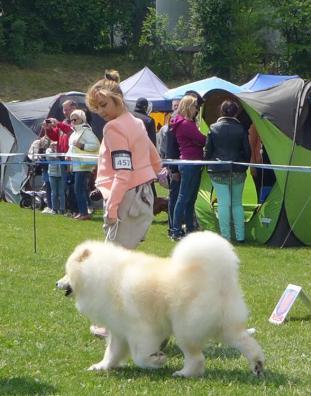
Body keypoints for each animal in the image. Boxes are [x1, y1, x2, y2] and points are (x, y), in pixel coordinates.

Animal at [57, 232, 264, 378]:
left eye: (67, 272)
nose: (57, 283)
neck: (104, 275)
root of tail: (218, 276)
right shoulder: (119, 331)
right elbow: (112, 353)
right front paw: (101, 367)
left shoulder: (141, 330)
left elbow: (140, 356)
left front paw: (157, 360)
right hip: (226, 325)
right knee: (246, 342)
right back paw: (257, 365)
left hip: (185, 330)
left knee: (196, 358)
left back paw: (184, 374)